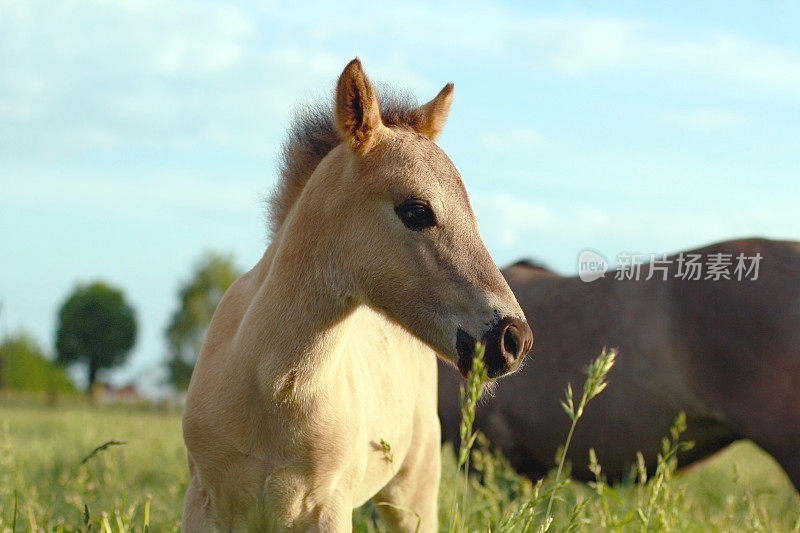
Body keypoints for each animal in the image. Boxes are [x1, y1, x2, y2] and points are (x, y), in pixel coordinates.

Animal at [181, 60, 532, 528]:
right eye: (416, 210)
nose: (514, 338)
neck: (272, 386)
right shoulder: (204, 502)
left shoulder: (327, 508)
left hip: (414, 495)